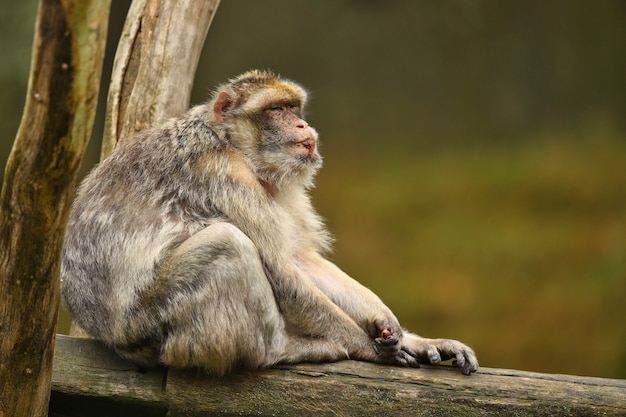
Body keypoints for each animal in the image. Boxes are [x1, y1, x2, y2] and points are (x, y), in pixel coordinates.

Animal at [61, 70, 476, 376]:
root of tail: (109, 337)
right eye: (277, 109)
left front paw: (403, 334)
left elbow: (299, 260)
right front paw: (368, 348)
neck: (230, 142)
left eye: (294, 107)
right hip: (148, 327)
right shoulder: (221, 174)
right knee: (226, 243)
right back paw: (279, 351)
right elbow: (280, 268)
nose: (303, 126)